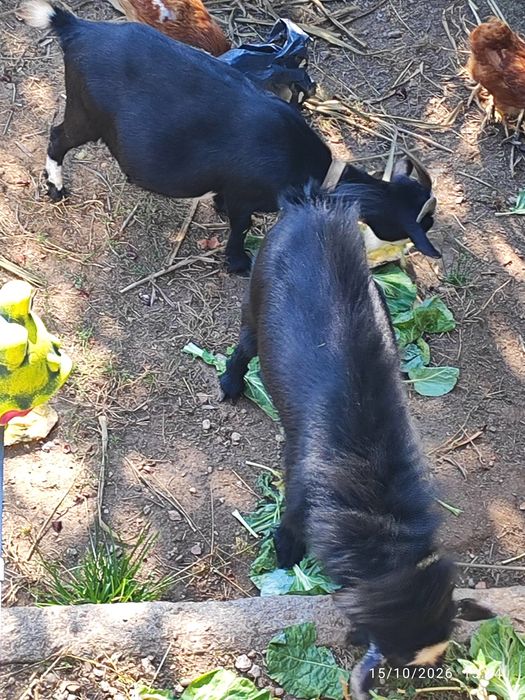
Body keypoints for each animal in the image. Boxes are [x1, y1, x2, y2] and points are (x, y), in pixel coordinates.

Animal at [22, 1, 439, 274]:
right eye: (420, 221)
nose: (433, 225)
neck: (312, 169)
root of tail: (77, 27)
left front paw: (218, 212)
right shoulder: (246, 194)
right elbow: (242, 226)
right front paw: (239, 263)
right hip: (86, 113)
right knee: (57, 138)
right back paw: (56, 189)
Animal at [220, 188, 494, 697]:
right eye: (403, 665)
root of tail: (311, 205)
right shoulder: (300, 482)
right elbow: (291, 521)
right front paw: (286, 555)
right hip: (255, 296)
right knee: (244, 344)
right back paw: (230, 382)